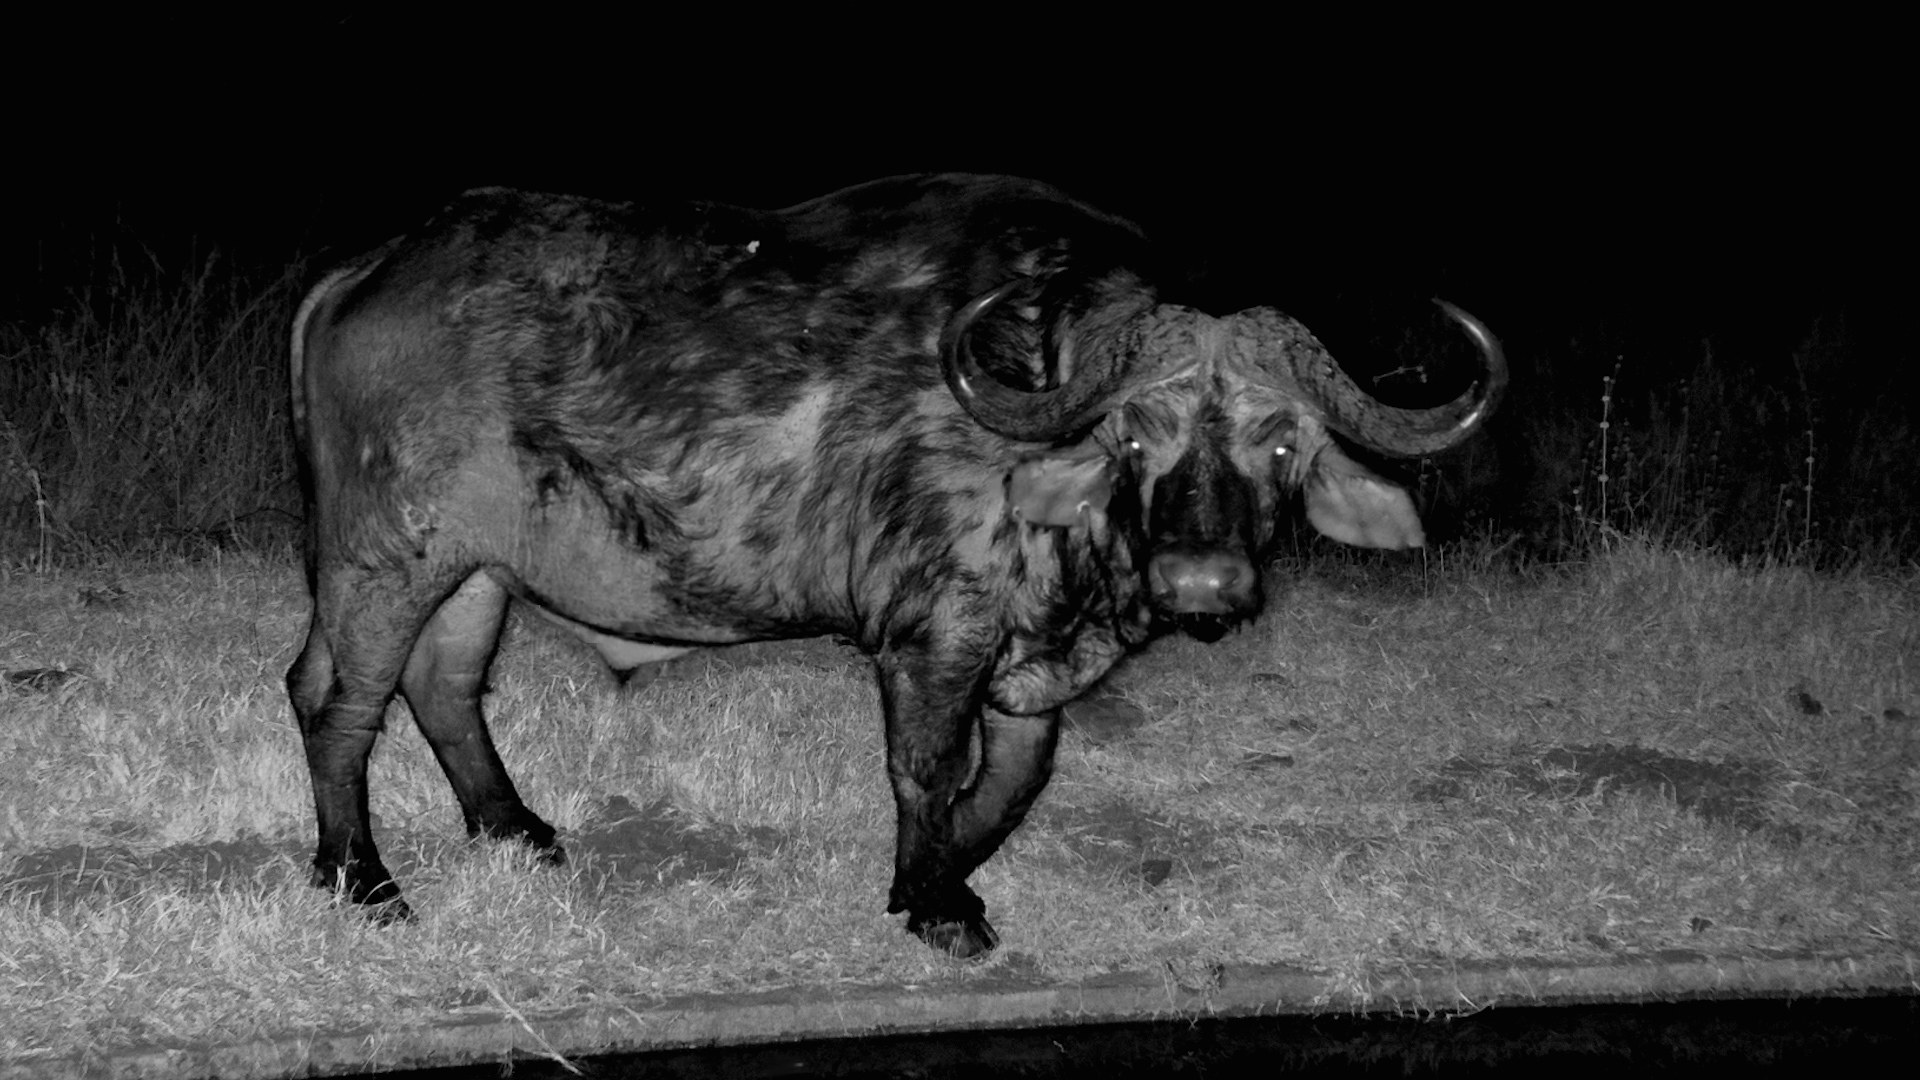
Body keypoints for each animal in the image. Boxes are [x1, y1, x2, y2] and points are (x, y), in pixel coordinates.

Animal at [287, 174, 1503, 957]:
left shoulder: (1025, 667)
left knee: (443, 686)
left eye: (1283, 442)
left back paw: (515, 827)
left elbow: (1011, 782)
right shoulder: (936, 639)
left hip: (474, 571)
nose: (1203, 582)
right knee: (337, 699)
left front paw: (943, 871)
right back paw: (361, 878)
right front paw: (938, 901)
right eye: (1133, 436)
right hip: (380, 556)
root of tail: (365, 270)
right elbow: (925, 768)